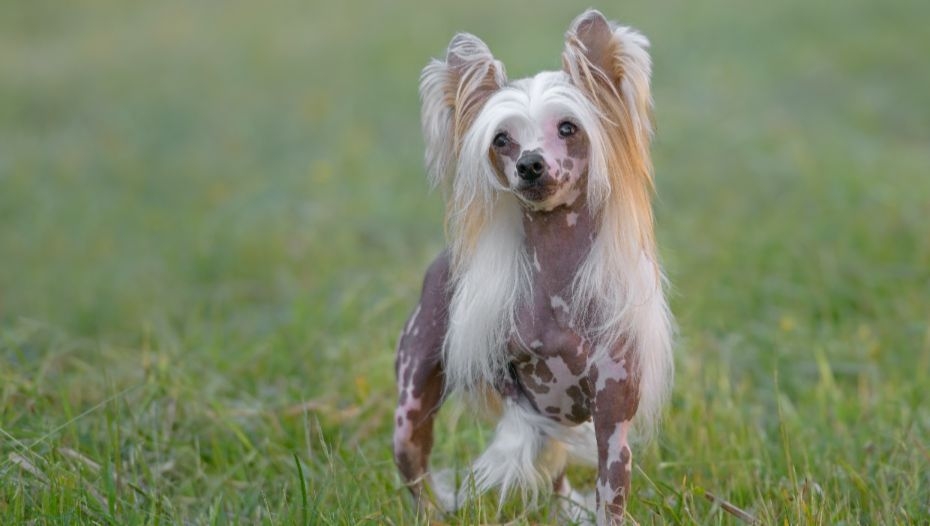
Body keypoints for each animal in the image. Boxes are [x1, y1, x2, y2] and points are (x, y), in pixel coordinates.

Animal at [394, 9, 676, 526]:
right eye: (501, 139)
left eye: (568, 128)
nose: (529, 164)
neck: (556, 282)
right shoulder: (520, 393)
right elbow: (525, 434)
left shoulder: (612, 415)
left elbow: (610, 492)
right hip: (410, 403)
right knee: (417, 473)